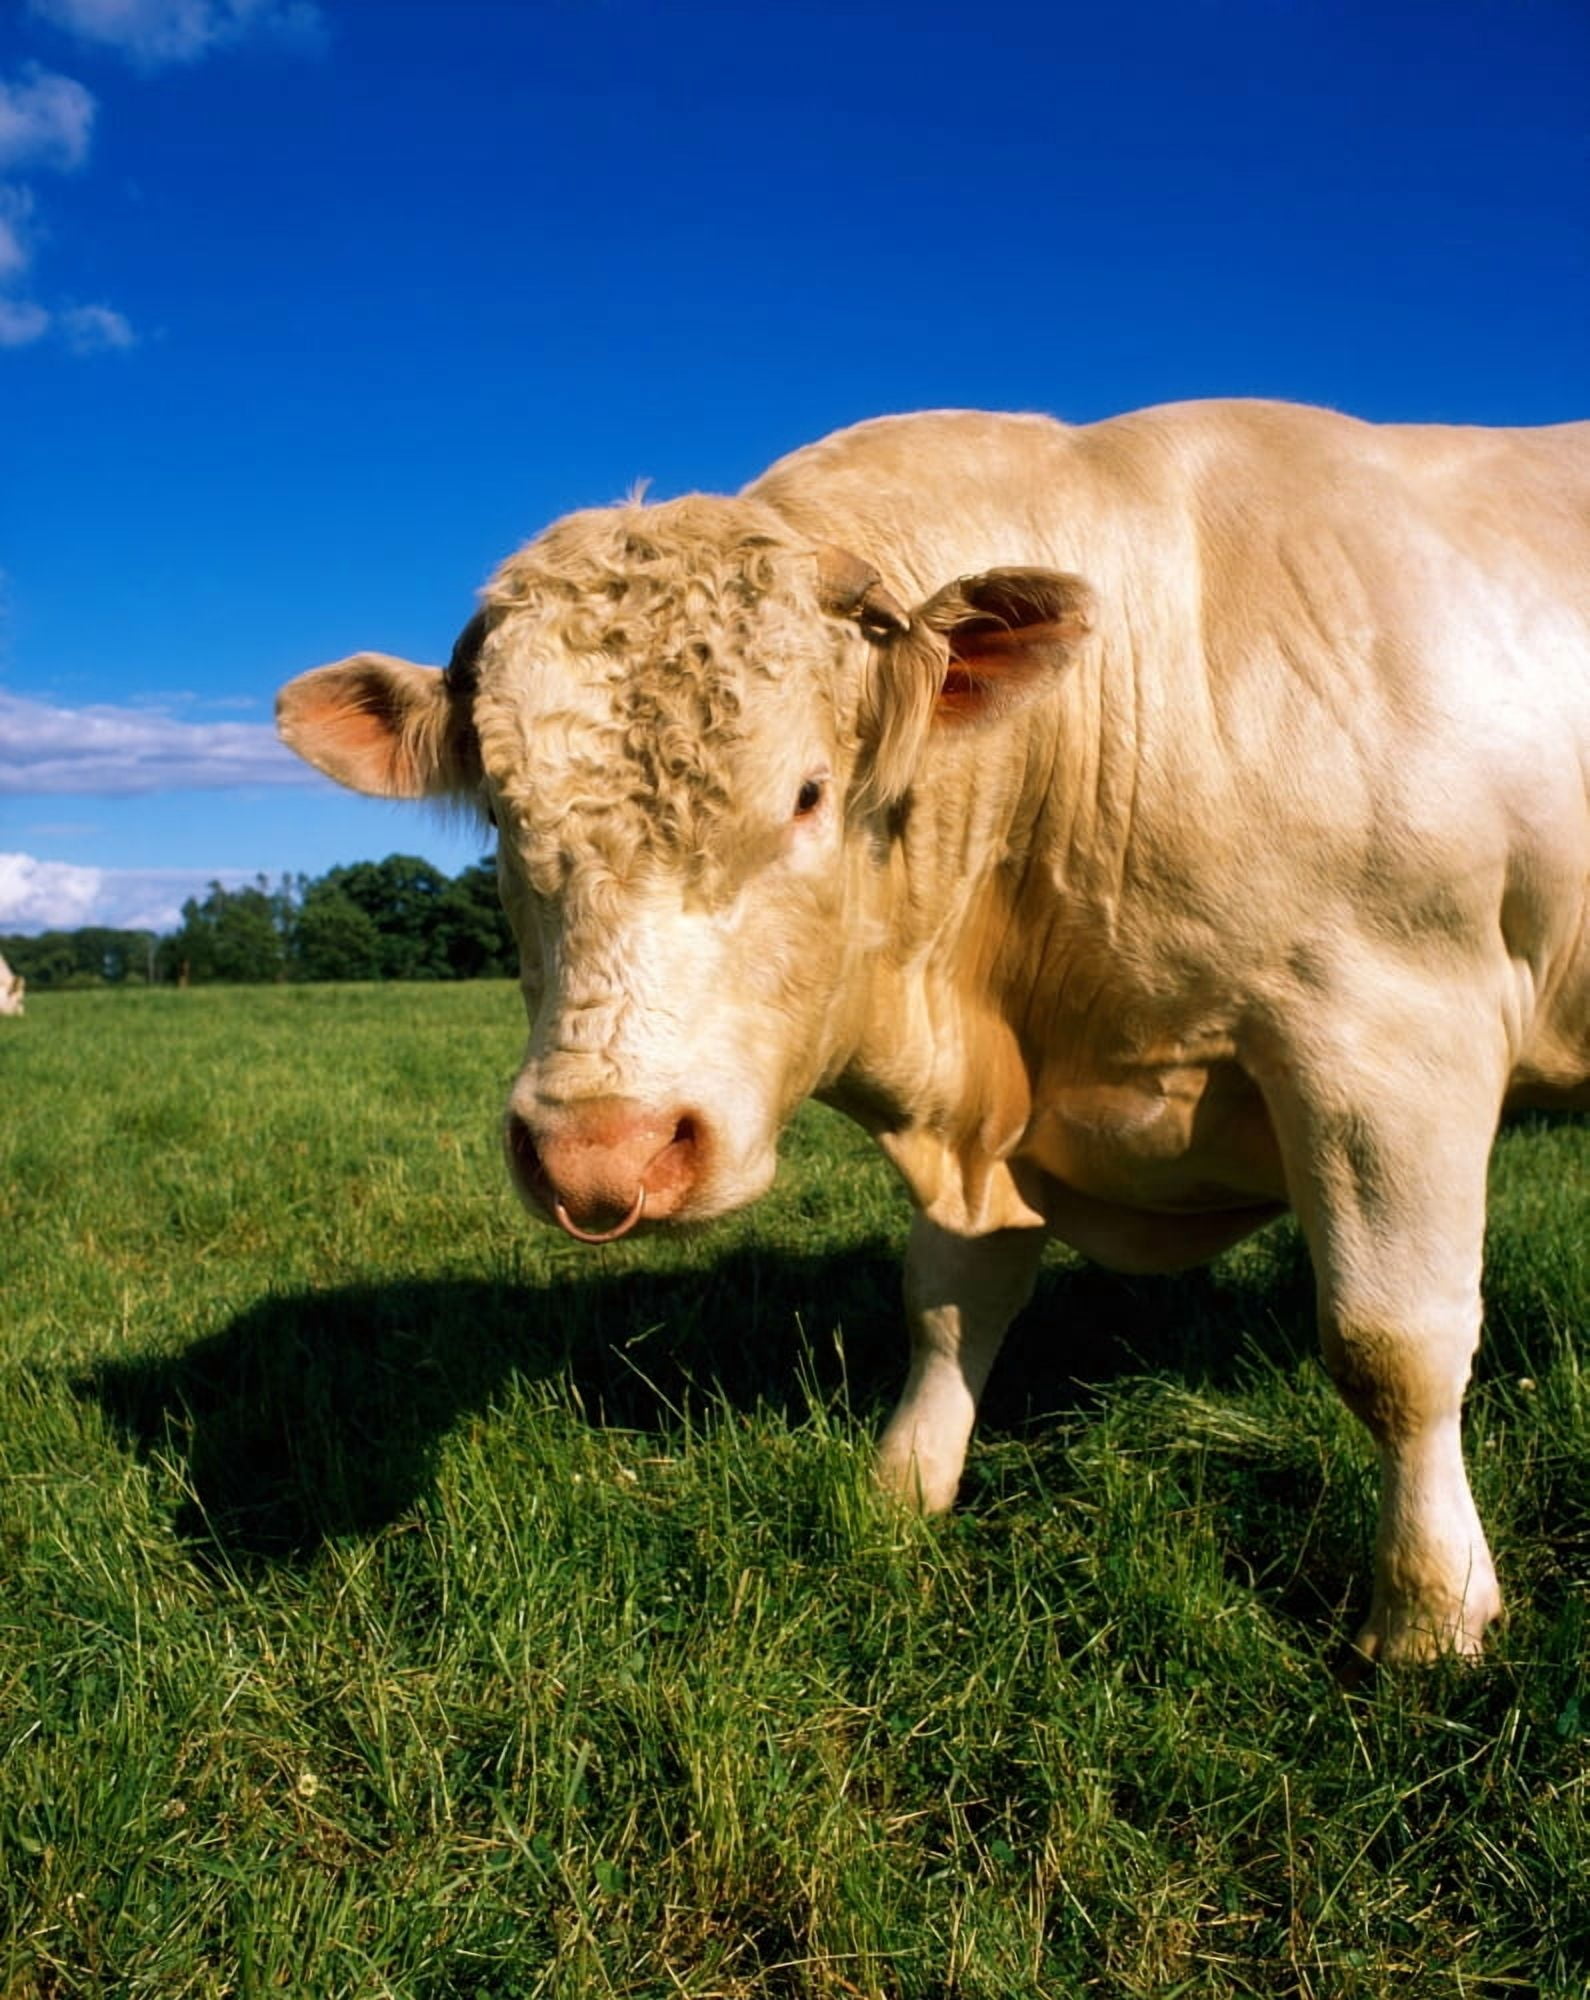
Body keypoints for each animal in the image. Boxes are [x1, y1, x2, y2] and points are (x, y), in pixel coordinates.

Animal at [277, 399, 1589, 1664]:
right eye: (504, 811)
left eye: (809, 793)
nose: (601, 1152)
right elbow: (953, 1299)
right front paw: (904, 1487)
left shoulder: (1391, 1030)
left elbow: (1393, 1343)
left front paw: (1428, 1611)